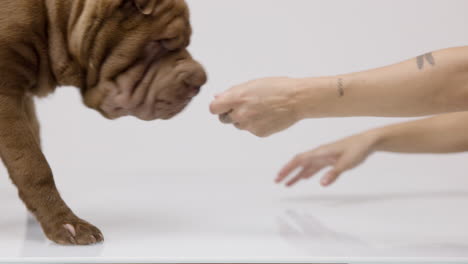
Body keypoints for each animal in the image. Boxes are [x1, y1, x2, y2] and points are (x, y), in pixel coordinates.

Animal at [0, 0, 207, 245]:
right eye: (163, 41)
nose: (200, 80)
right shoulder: (5, 95)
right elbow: (33, 164)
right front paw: (66, 224)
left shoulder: (23, 99)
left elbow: (33, 147)